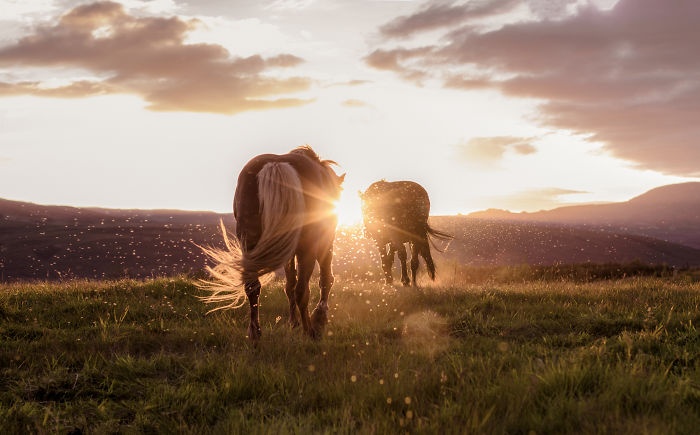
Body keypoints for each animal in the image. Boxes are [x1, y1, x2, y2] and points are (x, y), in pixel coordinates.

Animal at [201, 146, 344, 341]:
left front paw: (293, 322)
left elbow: (289, 283)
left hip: (251, 243)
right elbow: (325, 279)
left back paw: (255, 332)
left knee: (253, 287)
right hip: (307, 246)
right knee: (302, 289)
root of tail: (276, 165)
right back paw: (309, 331)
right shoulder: (325, 241)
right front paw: (320, 317)